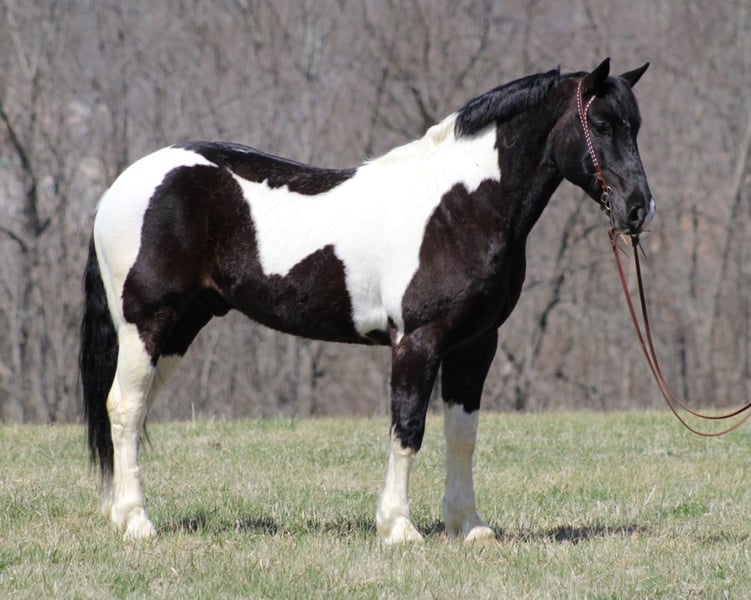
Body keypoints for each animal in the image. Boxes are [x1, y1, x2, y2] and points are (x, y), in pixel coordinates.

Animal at [80, 58, 655, 543]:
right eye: (600, 124)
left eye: (636, 125)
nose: (638, 208)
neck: (459, 207)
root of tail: (116, 189)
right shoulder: (418, 342)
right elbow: (408, 430)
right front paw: (398, 528)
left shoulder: (476, 344)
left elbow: (462, 434)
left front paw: (468, 526)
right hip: (146, 323)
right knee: (125, 407)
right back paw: (136, 522)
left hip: (181, 328)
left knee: (132, 408)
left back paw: (118, 513)